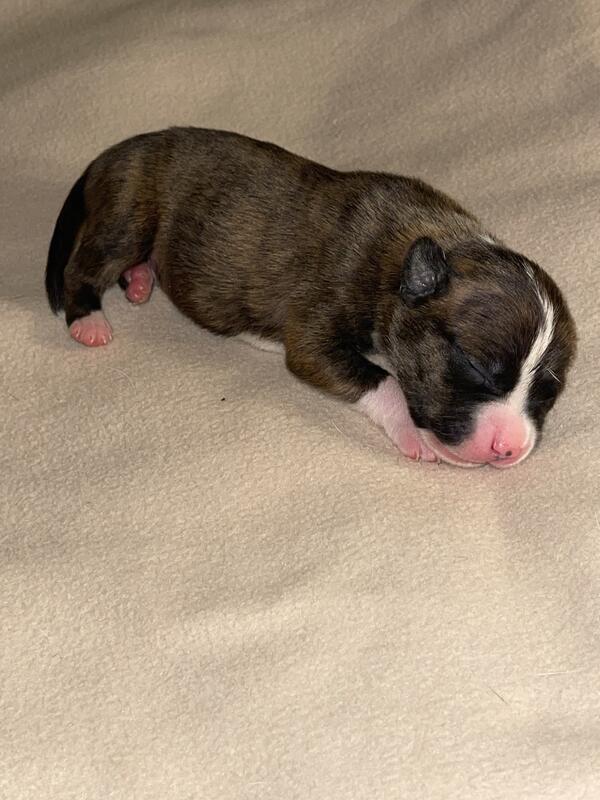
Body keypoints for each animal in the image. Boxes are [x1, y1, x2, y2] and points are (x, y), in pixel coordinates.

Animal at [45, 127, 576, 468]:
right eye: (476, 368)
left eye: (547, 393)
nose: (509, 449)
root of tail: (114, 150)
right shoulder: (314, 338)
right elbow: (382, 381)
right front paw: (414, 434)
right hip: (128, 214)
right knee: (84, 266)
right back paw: (88, 321)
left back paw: (140, 281)